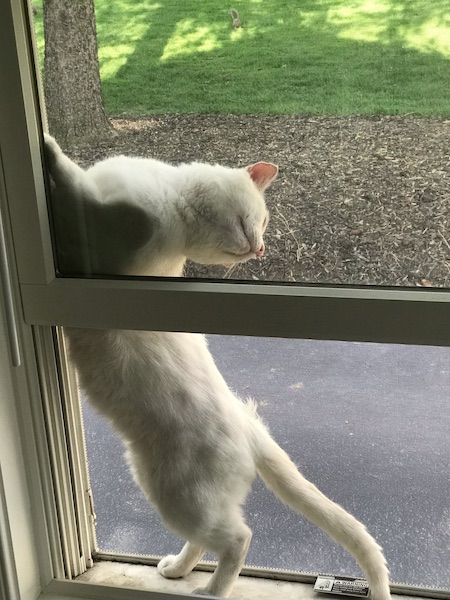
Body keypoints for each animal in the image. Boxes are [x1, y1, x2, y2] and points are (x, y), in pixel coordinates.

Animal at [44, 136, 390, 600]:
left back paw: (210, 590)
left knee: (237, 539)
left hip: (179, 497)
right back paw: (176, 569)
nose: (259, 248)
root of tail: (248, 426)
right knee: (206, 540)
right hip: (172, 491)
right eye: (255, 223)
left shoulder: (94, 222)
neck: (173, 200)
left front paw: (47, 148)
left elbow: (70, 180)